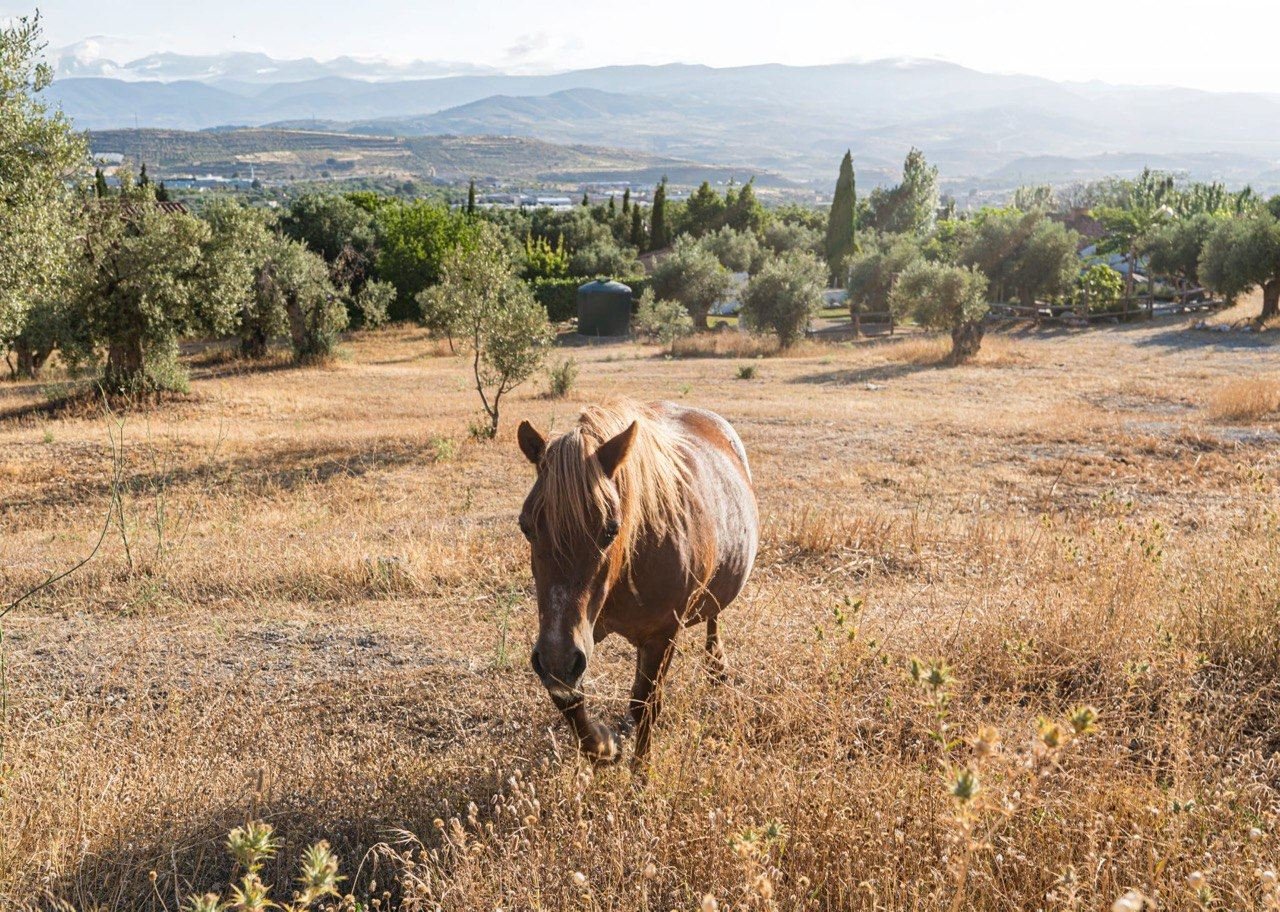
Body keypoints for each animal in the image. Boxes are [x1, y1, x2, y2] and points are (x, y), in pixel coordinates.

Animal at [516, 399, 759, 762]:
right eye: (525, 526)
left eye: (610, 530)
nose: (556, 661)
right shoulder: (578, 636)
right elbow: (567, 697)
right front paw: (602, 745)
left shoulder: (661, 636)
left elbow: (645, 705)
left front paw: (640, 771)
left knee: (714, 614)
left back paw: (716, 665)